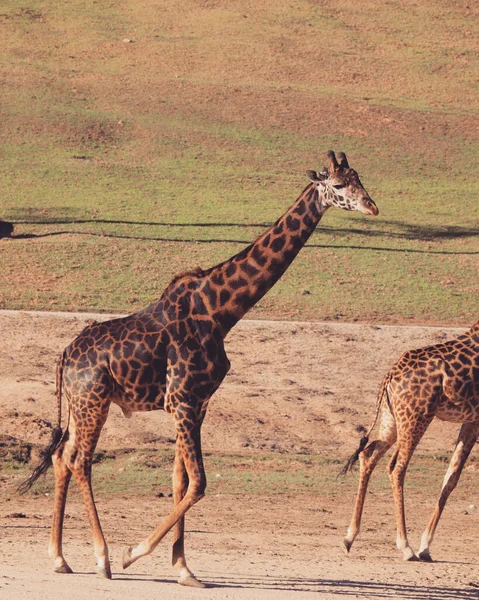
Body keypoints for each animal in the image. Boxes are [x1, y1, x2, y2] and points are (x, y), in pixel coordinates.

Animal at [18, 150, 378, 584]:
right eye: (339, 185)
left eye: (360, 178)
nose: (372, 206)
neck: (221, 312)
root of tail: (64, 355)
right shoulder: (183, 401)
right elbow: (199, 484)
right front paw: (132, 553)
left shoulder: (197, 404)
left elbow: (179, 482)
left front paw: (184, 569)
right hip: (94, 404)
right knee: (79, 461)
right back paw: (102, 558)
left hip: (78, 405)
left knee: (60, 458)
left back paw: (59, 558)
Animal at [344, 324, 478, 564]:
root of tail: (389, 376)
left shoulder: (472, 420)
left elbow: (451, 477)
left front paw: (426, 546)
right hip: (416, 417)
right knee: (397, 468)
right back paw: (405, 546)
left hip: (392, 418)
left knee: (368, 454)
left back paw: (350, 537)